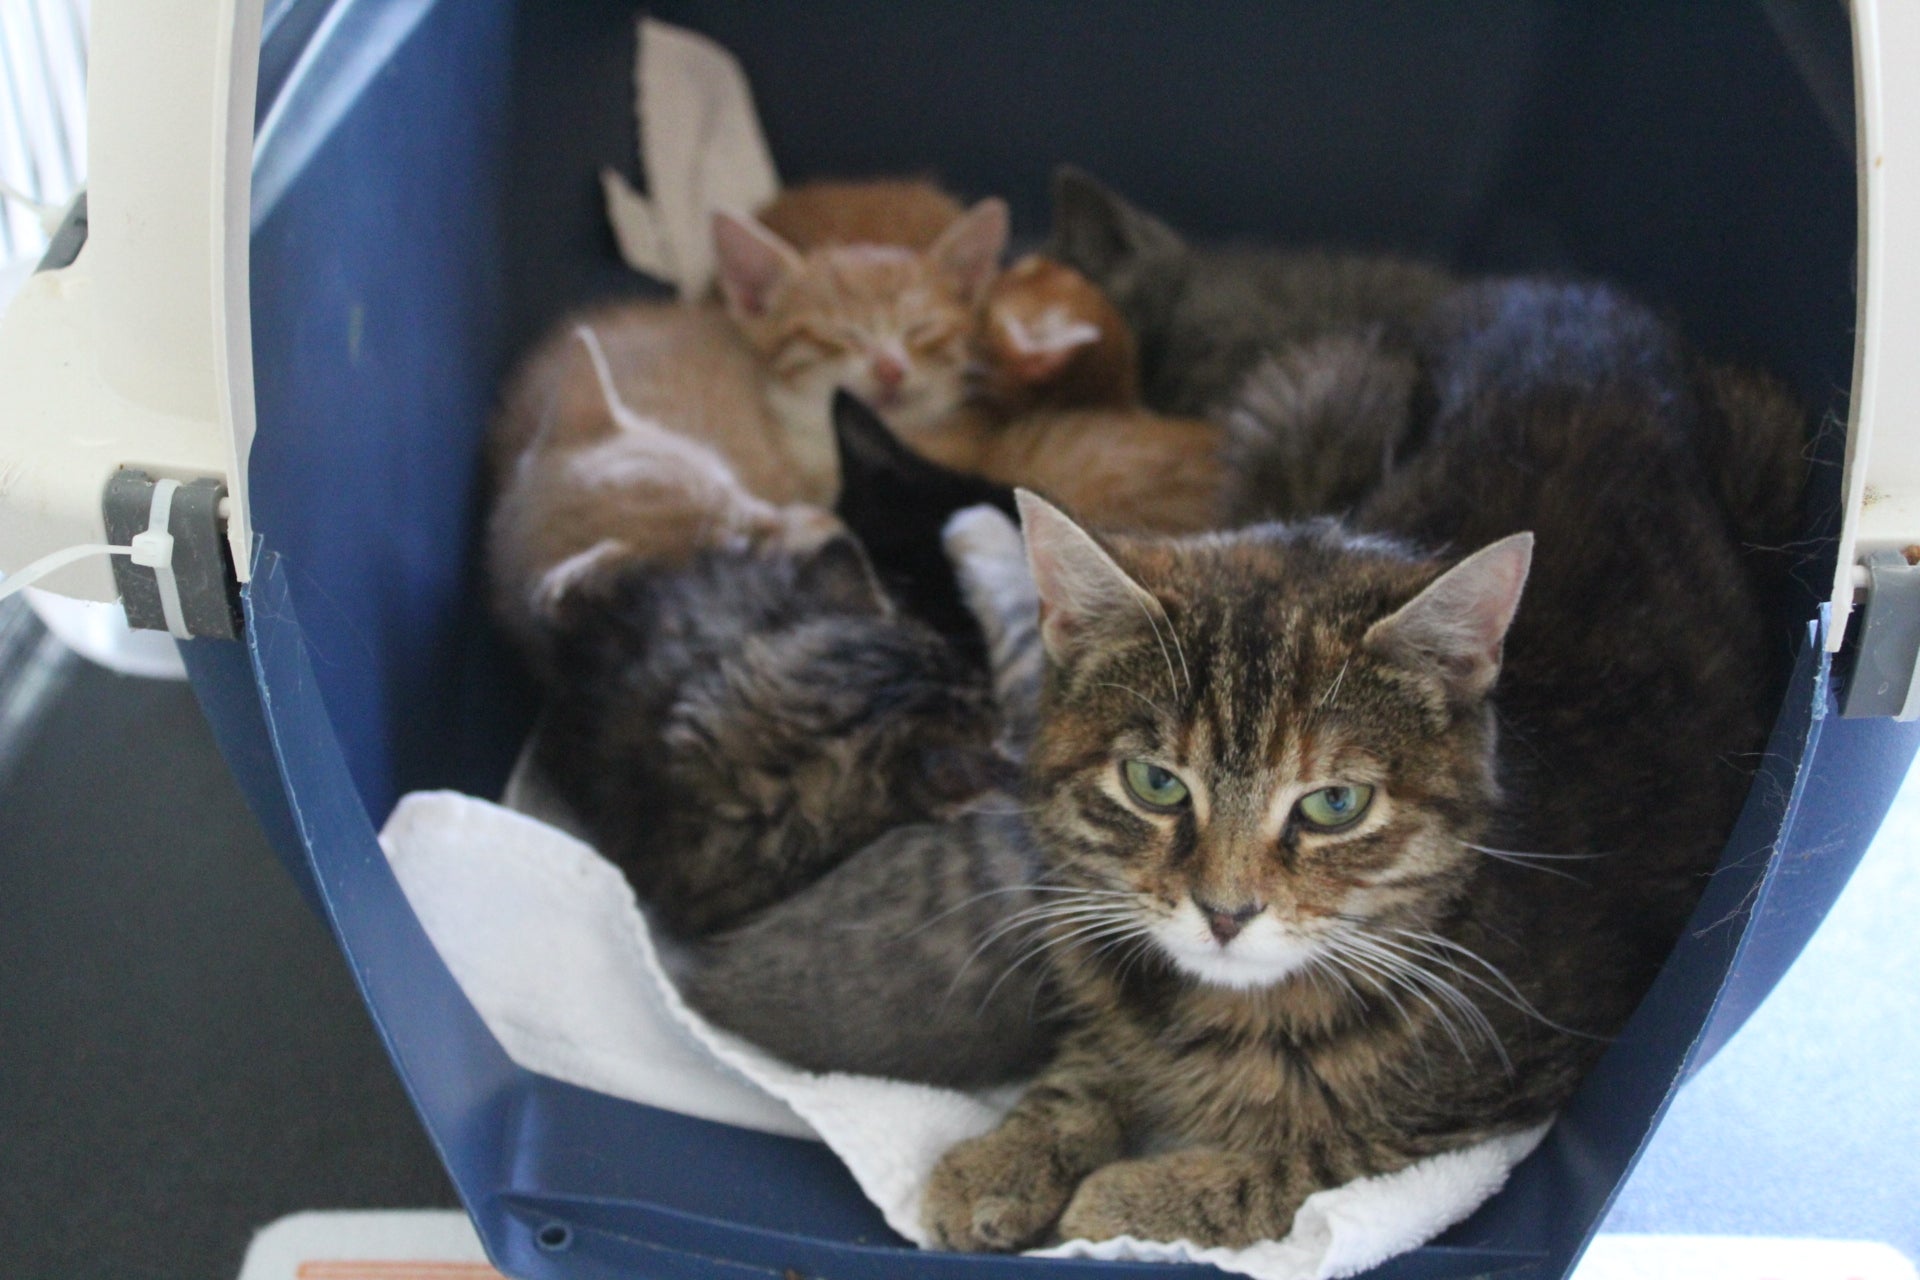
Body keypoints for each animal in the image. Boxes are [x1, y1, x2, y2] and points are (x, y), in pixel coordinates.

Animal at [925, 280, 1797, 1251]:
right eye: (1155, 783)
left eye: (1334, 803)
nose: (1225, 914)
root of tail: (1576, 292)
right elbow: (1092, 1055)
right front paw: (1009, 1153)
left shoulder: (1517, 1091)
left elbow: (1321, 1159)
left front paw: (1132, 1201)